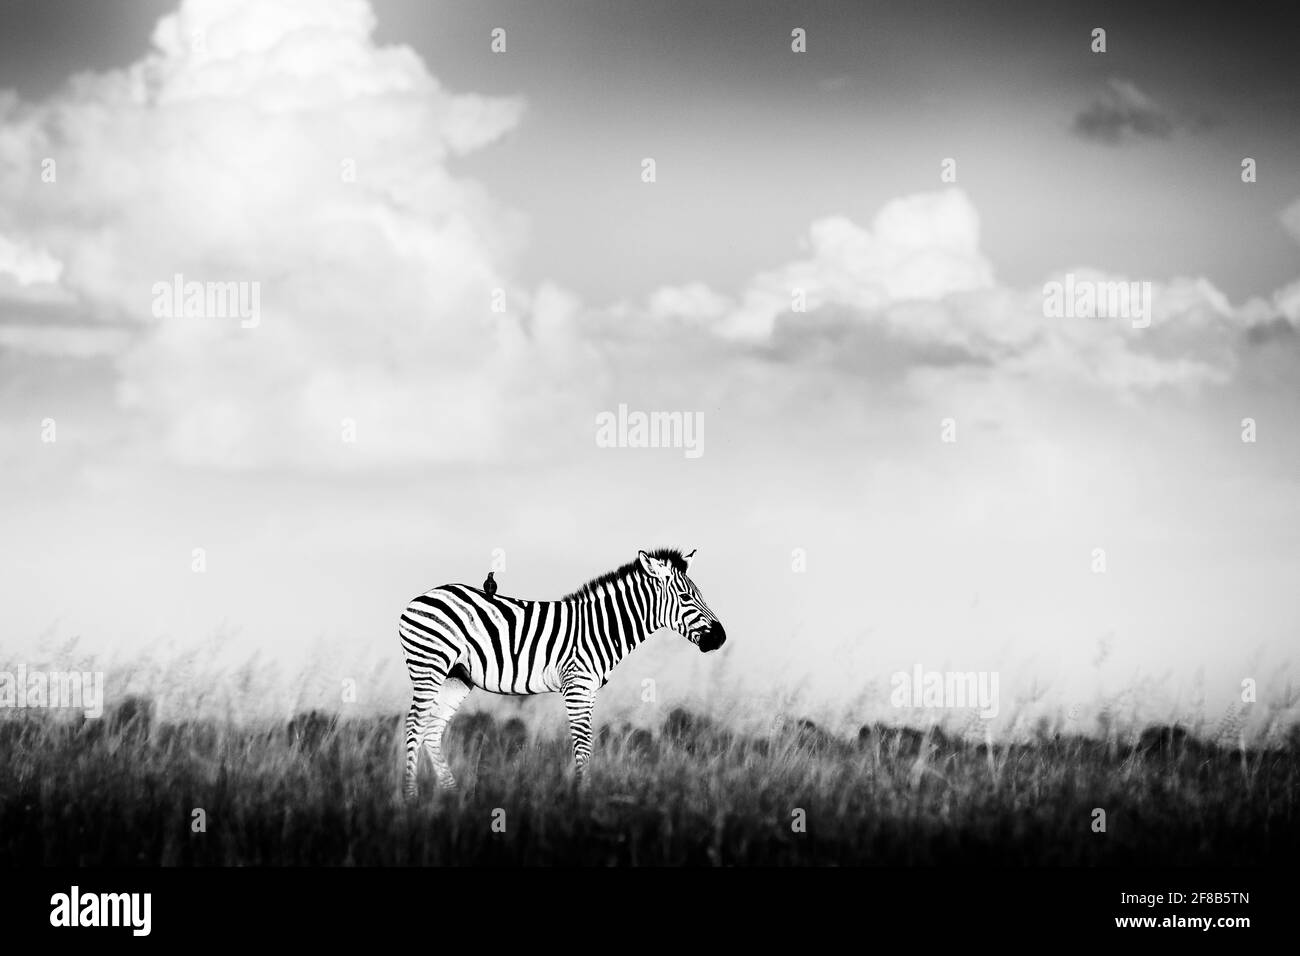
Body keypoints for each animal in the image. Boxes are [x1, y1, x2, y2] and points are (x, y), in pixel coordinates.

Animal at [398, 547, 726, 797]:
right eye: (685, 597)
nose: (720, 638)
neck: (601, 628)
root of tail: (419, 598)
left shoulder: (589, 689)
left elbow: (587, 745)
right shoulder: (577, 685)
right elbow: (582, 746)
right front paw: (581, 800)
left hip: (457, 676)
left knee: (431, 729)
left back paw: (452, 796)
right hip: (429, 664)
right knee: (414, 725)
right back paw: (410, 798)